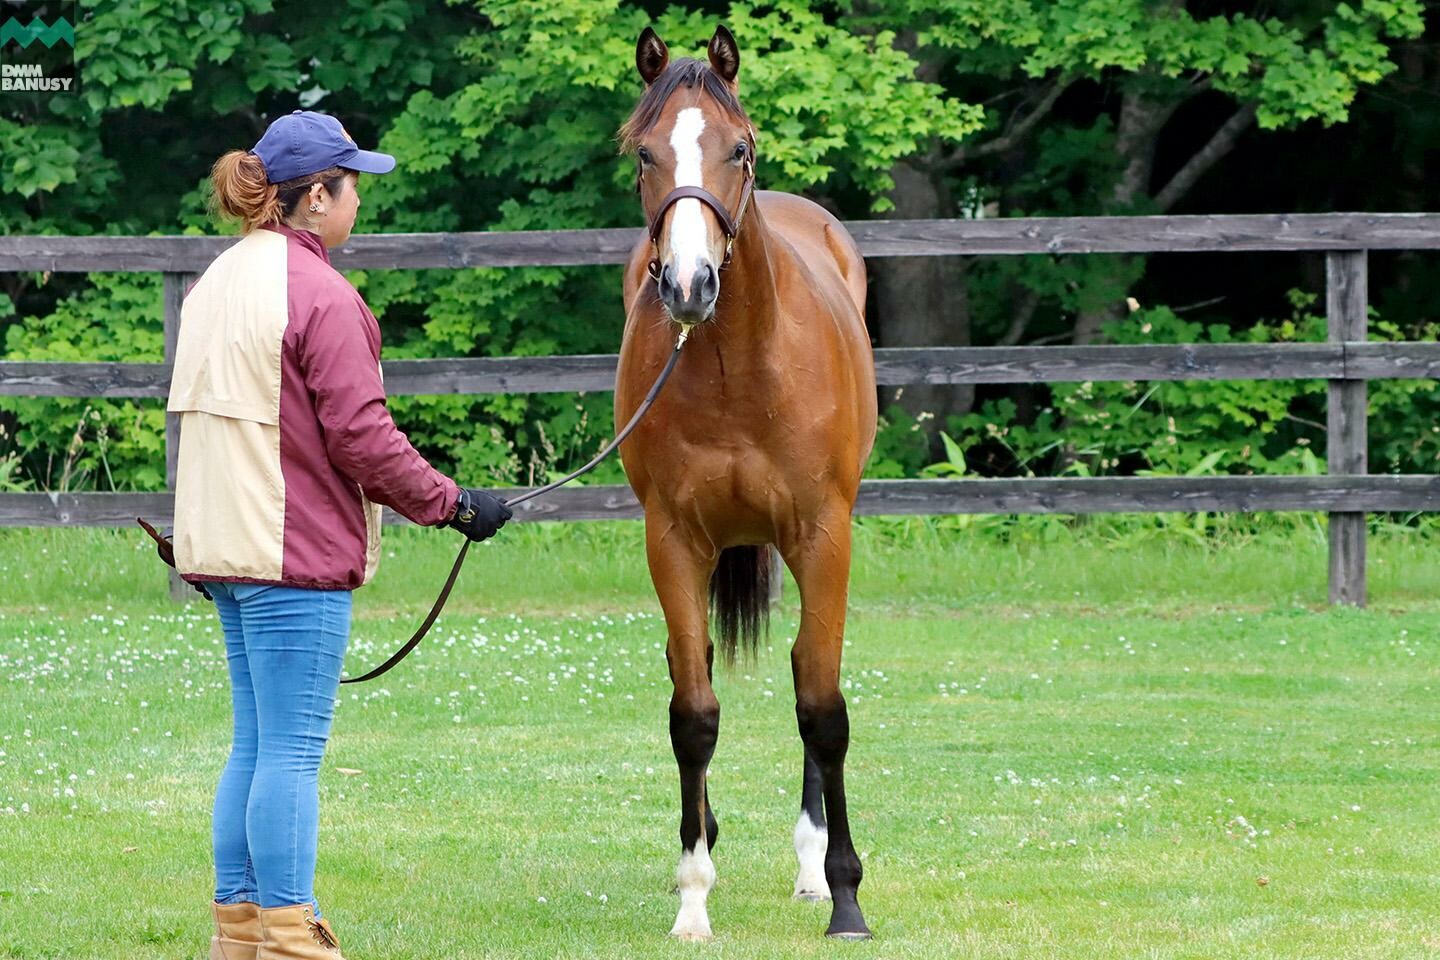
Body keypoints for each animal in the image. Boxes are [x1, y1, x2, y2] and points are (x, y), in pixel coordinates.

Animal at [610, 24, 869, 944]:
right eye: (644, 153)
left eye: (739, 148)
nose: (689, 285)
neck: (737, 369)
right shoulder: (673, 541)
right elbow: (694, 712)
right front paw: (694, 896)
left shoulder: (823, 536)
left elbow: (821, 706)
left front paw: (847, 895)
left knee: (807, 679)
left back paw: (812, 867)